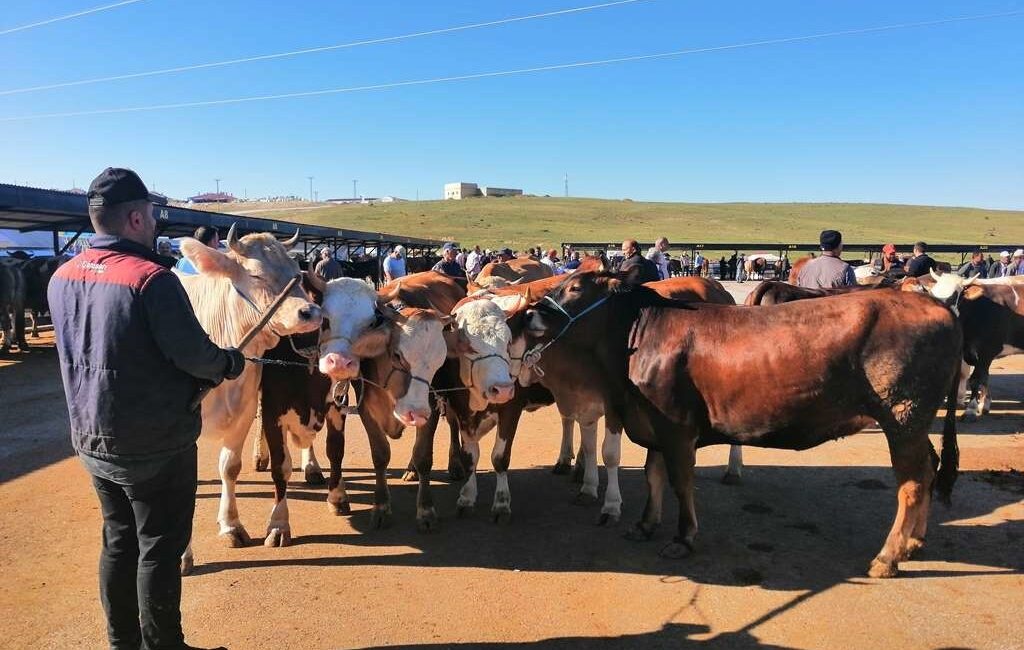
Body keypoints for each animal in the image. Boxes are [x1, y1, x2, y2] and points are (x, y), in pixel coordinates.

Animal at [524, 272, 962, 577]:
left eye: (574, 287)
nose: (529, 314)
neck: (639, 338)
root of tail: (938, 307)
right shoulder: (652, 425)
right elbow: (652, 475)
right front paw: (645, 524)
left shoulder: (677, 428)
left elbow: (680, 482)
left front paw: (683, 537)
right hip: (914, 421)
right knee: (929, 468)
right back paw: (914, 542)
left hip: (903, 416)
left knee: (911, 484)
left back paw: (888, 556)